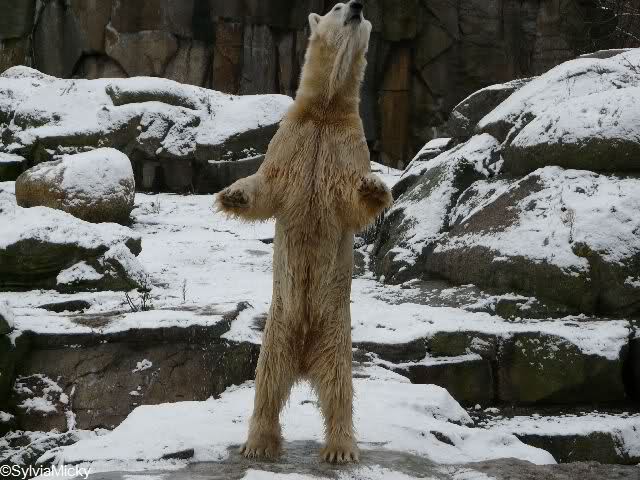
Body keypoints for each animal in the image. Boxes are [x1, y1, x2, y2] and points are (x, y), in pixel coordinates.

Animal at [216, 0, 392, 464]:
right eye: (336, 5)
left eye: (356, 6)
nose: (356, 6)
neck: (325, 110)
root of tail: (305, 358)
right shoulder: (293, 137)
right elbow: (267, 185)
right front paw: (232, 194)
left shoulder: (347, 144)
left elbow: (351, 198)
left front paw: (374, 186)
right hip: (277, 328)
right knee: (267, 381)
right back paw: (258, 442)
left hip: (336, 334)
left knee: (338, 388)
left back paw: (340, 448)